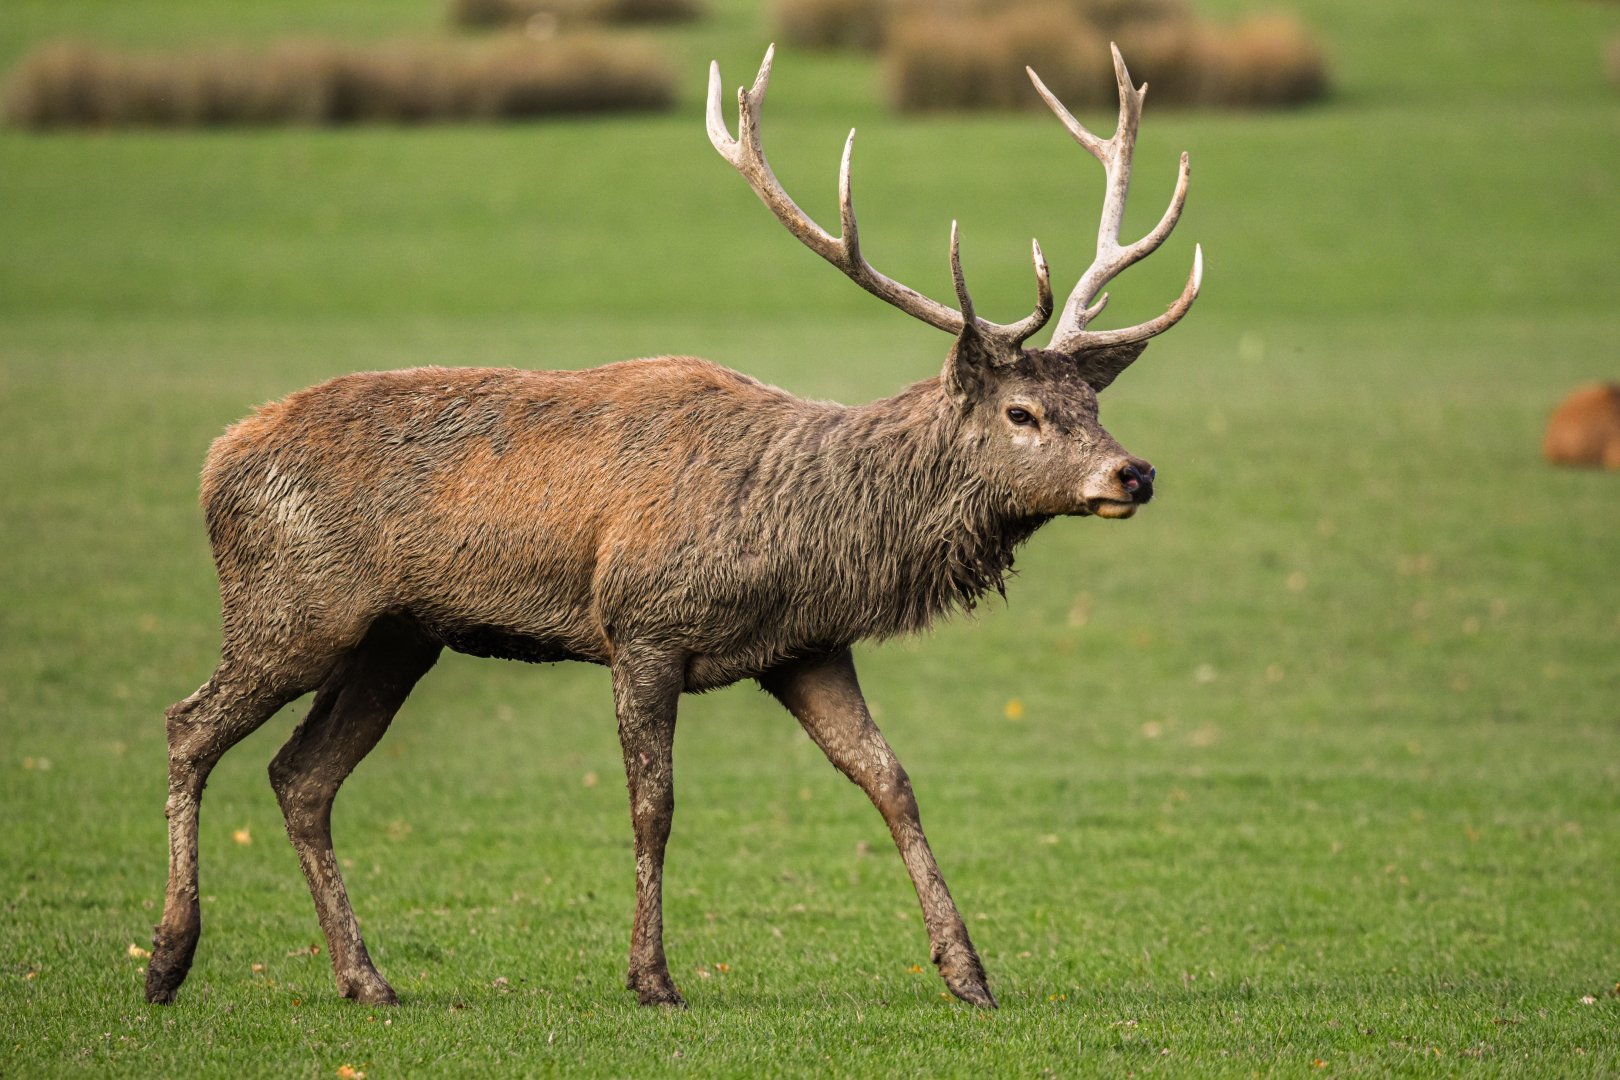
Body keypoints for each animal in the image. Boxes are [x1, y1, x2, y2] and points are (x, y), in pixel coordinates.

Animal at [145, 44, 1202, 1011]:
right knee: (189, 726)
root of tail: (216, 460)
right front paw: (652, 978)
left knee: (300, 776)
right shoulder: (642, 625)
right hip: (294, 606)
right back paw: (167, 961)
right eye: (1022, 412)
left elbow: (891, 781)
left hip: (396, 638)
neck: (798, 537)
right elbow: (653, 805)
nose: (1134, 472)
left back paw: (365, 979)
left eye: (1092, 404)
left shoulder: (809, 647)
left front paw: (968, 974)